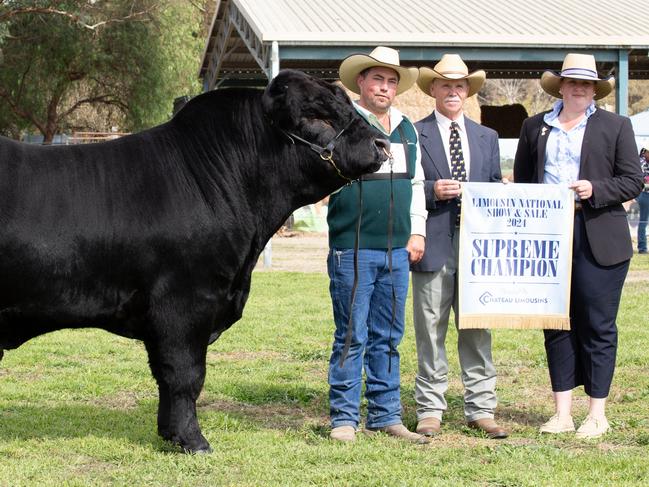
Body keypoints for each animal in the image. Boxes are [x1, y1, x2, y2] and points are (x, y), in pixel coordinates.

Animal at [0, 69, 388, 454]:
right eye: (314, 116)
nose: (382, 144)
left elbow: (166, 377)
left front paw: (169, 433)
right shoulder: (185, 304)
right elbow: (184, 375)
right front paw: (193, 440)